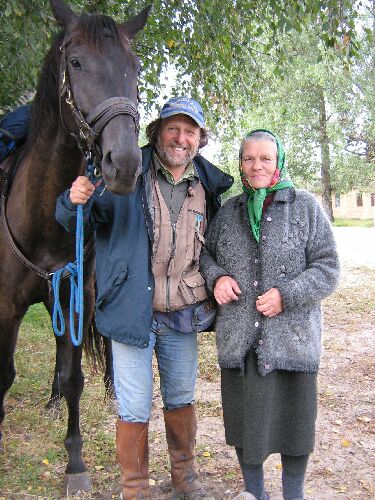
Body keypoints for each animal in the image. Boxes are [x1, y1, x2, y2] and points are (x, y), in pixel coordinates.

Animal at [0, 0, 150, 492]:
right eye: (77, 63)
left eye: (134, 68)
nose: (124, 164)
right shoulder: (6, 306)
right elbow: (4, 374)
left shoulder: (73, 292)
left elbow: (73, 377)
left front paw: (75, 463)